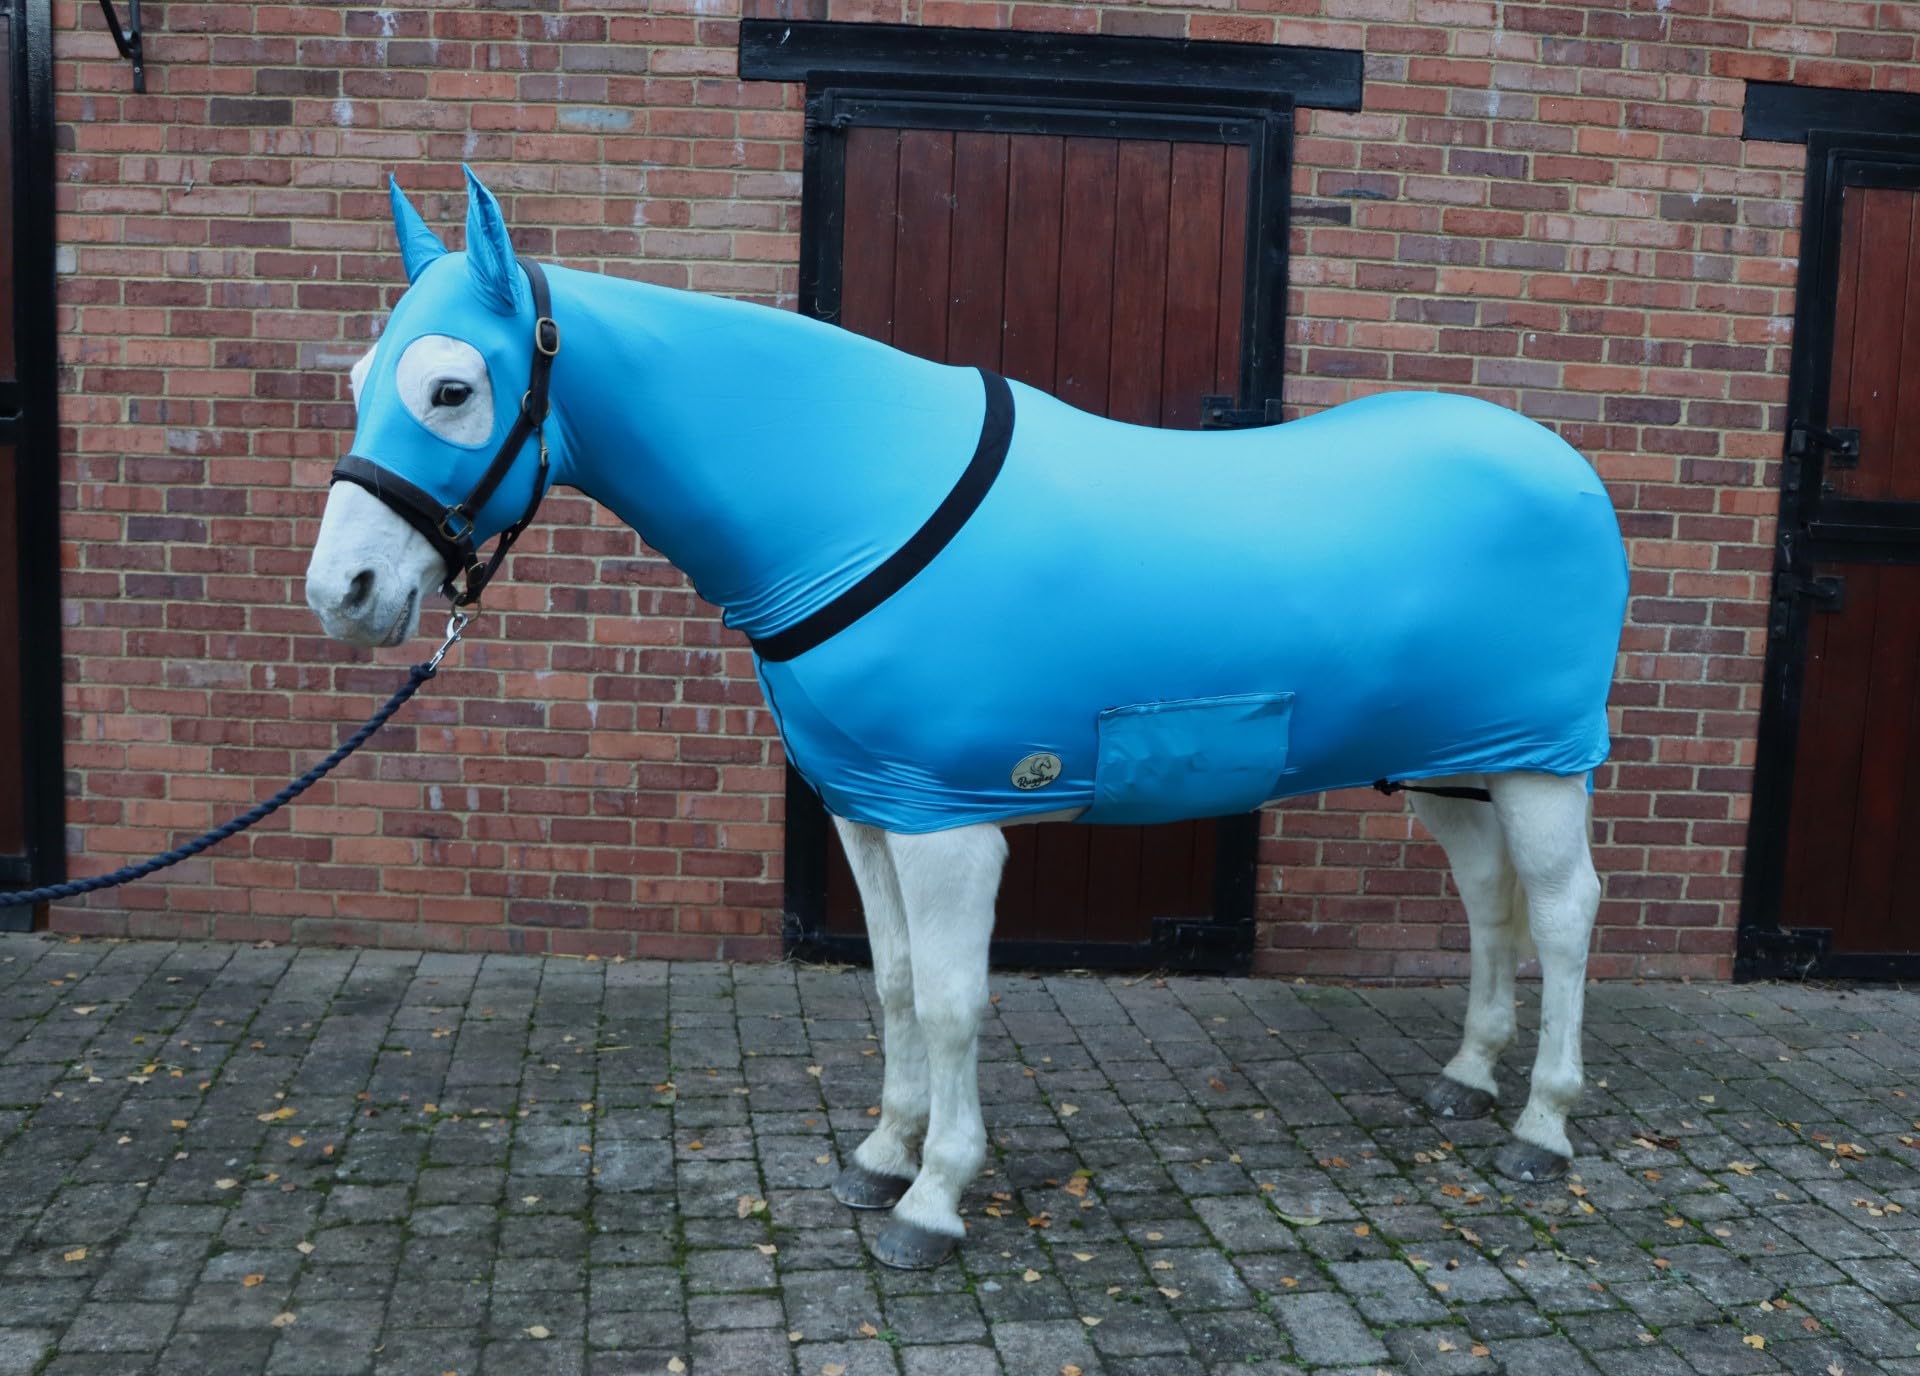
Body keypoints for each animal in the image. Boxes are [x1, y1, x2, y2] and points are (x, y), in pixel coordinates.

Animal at [305, 167, 1627, 1269]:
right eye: (359, 381)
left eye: (451, 387)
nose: (343, 594)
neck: (857, 500)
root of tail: (1562, 462)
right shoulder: (871, 806)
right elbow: (893, 981)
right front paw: (882, 1155)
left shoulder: (953, 822)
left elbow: (949, 996)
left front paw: (935, 1199)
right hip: (1456, 762)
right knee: (1487, 898)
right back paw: (1466, 1075)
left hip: (1546, 763)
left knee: (1563, 912)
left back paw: (1542, 1124)